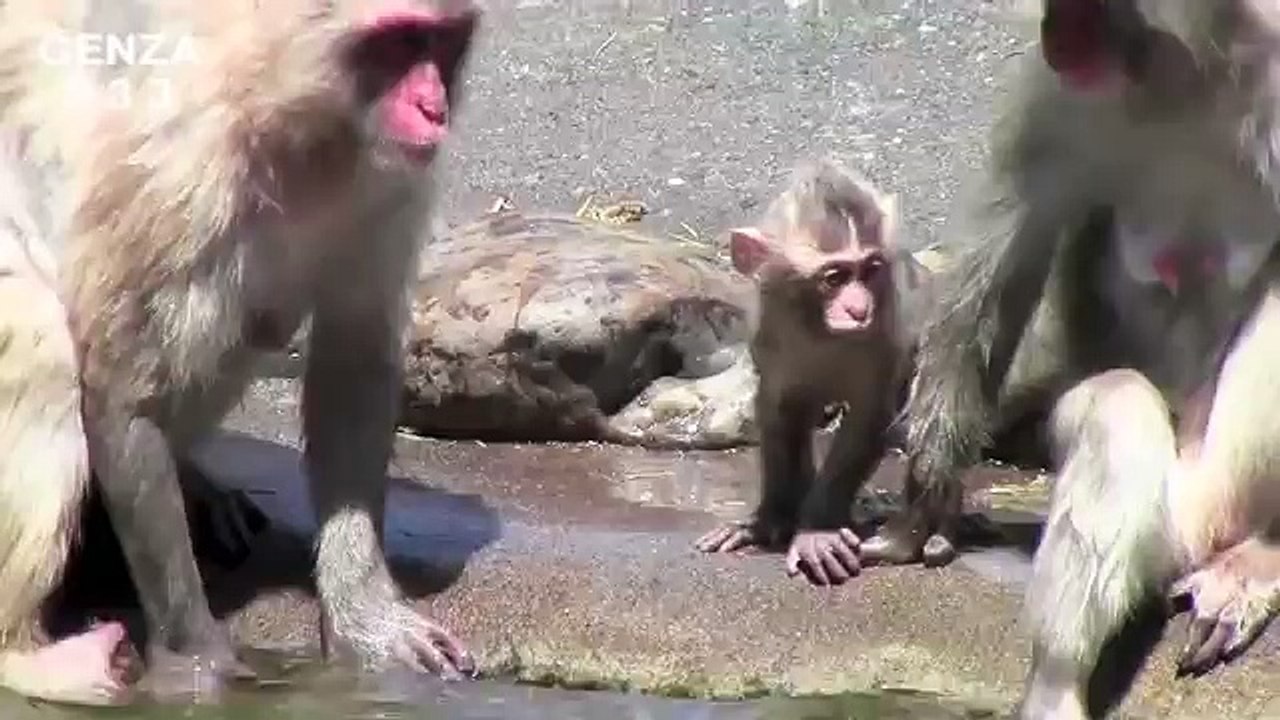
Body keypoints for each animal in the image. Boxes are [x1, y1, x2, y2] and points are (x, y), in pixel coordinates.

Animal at [0, 0, 479, 704]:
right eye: (399, 41)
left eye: (444, 42)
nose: (434, 108)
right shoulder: (177, 171)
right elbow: (120, 392)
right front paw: (198, 664)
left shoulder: (386, 177)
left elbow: (355, 358)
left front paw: (366, 617)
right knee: (46, 341)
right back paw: (31, 659)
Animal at [693, 158, 934, 586]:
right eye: (835, 277)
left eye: (870, 270)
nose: (859, 308)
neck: (817, 325)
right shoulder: (769, 323)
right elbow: (778, 407)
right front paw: (768, 520)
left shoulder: (887, 328)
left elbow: (872, 413)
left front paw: (817, 530)